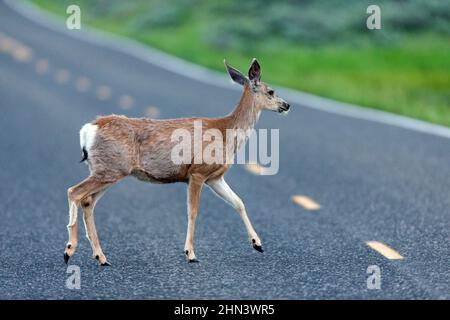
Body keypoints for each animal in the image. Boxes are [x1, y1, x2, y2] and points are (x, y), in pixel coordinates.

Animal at [63, 58, 290, 264]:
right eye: (271, 91)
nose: (287, 105)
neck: (226, 133)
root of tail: (89, 129)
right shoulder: (197, 172)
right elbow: (193, 211)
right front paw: (190, 253)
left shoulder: (215, 178)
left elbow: (239, 202)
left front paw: (257, 243)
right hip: (110, 169)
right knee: (74, 192)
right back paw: (69, 250)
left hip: (108, 171)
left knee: (87, 202)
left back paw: (100, 257)